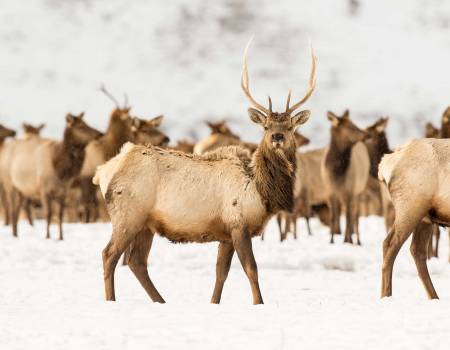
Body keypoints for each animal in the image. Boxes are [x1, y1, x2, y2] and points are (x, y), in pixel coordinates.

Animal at [92, 40, 316, 304]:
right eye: (266, 126)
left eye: (290, 126)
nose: (278, 136)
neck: (261, 193)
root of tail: (104, 170)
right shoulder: (238, 223)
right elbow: (251, 269)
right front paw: (259, 303)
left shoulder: (226, 233)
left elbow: (221, 272)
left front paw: (213, 302)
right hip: (127, 215)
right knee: (109, 255)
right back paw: (112, 300)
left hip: (146, 223)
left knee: (136, 261)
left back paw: (161, 301)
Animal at [322, 110, 370, 245]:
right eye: (350, 127)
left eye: (354, 124)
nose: (367, 134)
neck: (337, 174)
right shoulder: (330, 192)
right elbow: (333, 217)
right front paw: (331, 240)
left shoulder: (350, 192)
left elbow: (349, 217)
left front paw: (346, 241)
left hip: (360, 190)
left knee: (356, 215)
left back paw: (357, 240)